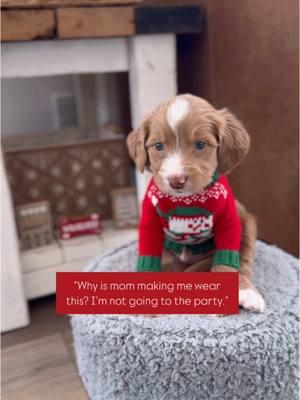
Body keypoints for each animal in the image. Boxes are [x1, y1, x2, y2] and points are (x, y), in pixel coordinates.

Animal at [126, 94, 264, 312]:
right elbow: (148, 255)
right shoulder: (149, 222)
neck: (187, 200)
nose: (176, 180)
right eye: (158, 146)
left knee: (243, 256)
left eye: (200, 145)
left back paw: (247, 292)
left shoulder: (229, 221)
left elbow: (230, 257)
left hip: (244, 220)